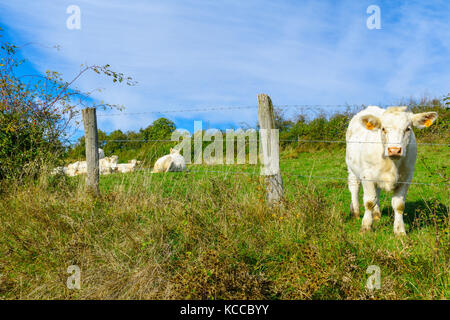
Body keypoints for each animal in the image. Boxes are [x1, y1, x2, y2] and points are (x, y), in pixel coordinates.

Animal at [346, 106, 438, 234]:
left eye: (408, 129)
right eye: (383, 129)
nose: (394, 150)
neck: (392, 164)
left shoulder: (406, 178)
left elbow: (399, 205)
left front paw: (400, 231)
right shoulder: (367, 176)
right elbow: (369, 202)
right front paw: (366, 227)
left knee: (377, 192)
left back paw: (376, 214)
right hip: (351, 168)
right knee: (354, 188)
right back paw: (355, 212)